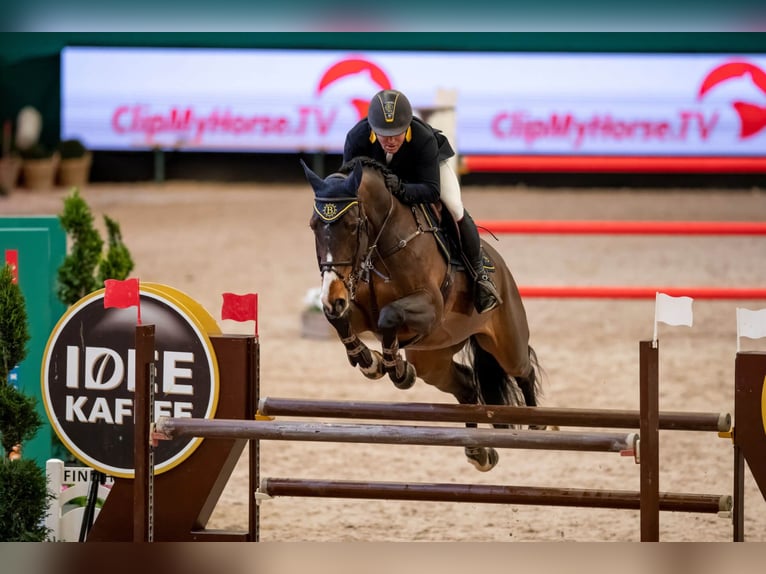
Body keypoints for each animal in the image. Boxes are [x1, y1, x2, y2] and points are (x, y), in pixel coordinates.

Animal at [304, 158, 544, 472]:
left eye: (353, 225)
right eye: (313, 226)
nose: (332, 297)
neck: (382, 245)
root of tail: (501, 267)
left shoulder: (430, 309)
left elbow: (390, 315)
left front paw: (395, 368)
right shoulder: (357, 308)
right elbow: (340, 319)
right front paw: (370, 361)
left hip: (505, 342)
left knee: (523, 369)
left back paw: (537, 425)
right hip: (432, 359)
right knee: (467, 384)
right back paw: (478, 452)